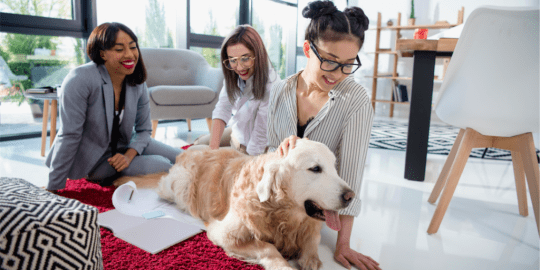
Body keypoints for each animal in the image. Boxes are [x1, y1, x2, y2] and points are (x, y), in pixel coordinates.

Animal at [114, 138, 354, 268]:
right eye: (315, 168)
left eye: (334, 167)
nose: (351, 196)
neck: (282, 214)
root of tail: (184, 154)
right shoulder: (223, 233)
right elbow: (267, 247)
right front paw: (283, 265)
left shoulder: (308, 226)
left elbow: (312, 243)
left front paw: (310, 259)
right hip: (179, 187)